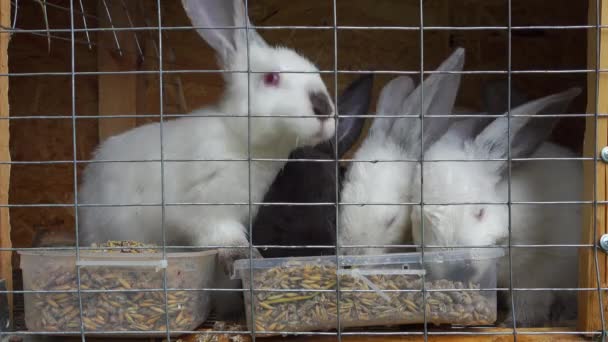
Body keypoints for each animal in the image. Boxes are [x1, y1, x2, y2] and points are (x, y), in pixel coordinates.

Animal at [78, 0, 334, 272]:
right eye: (271, 78)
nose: (324, 108)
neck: (244, 142)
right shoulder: (208, 209)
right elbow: (222, 235)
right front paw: (245, 254)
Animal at [410, 87, 580, 326]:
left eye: (480, 211)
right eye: (422, 221)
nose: (458, 271)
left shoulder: (534, 271)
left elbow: (529, 304)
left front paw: (513, 324)